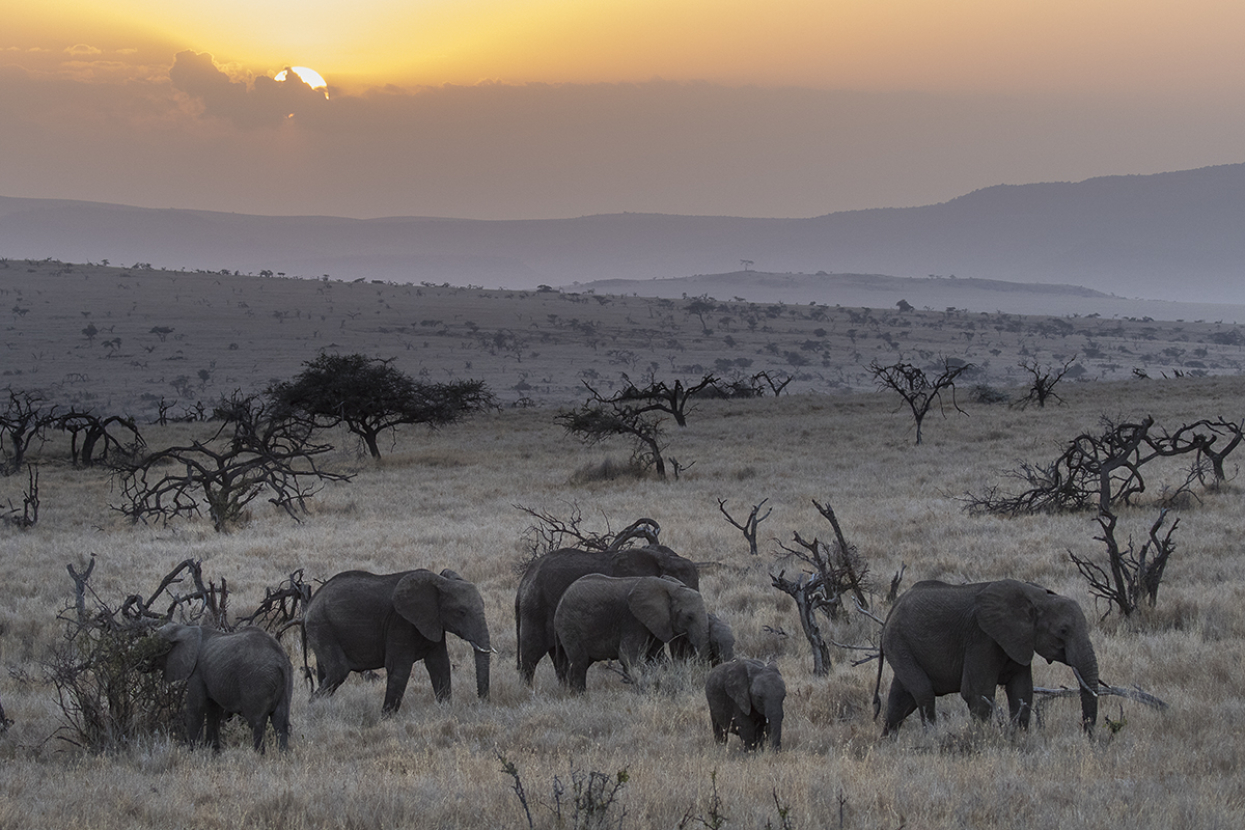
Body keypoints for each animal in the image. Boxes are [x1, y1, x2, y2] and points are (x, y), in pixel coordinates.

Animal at [154, 623, 293, 752]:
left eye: (160, 648)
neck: (184, 628)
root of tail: (280, 659)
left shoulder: (197, 672)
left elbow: (196, 708)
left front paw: (195, 753)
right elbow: (214, 712)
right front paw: (214, 753)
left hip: (257, 680)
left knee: (257, 722)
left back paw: (259, 756)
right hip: (286, 679)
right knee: (281, 721)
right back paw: (282, 756)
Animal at [304, 568, 491, 714]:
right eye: (462, 612)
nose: (482, 702)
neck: (440, 583)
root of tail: (310, 604)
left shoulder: (433, 622)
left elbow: (440, 664)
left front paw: (446, 712)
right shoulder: (400, 623)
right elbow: (400, 667)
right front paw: (385, 720)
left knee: (325, 673)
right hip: (322, 626)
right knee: (338, 671)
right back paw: (312, 710)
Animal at [515, 544, 700, 684]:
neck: (664, 559)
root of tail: (525, 579)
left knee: (559, 658)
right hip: (536, 609)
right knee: (532, 654)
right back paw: (528, 691)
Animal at [553, 574, 710, 692]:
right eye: (689, 617)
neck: (667, 586)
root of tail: (560, 600)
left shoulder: (654, 622)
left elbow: (656, 656)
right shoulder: (632, 620)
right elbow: (627, 655)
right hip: (569, 626)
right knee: (579, 662)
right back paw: (579, 695)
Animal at [874, 579, 1099, 736]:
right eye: (1063, 631)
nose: (1087, 733)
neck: (1037, 596)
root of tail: (893, 607)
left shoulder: (1017, 640)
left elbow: (1022, 691)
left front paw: (1019, 738)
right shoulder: (982, 638)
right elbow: (976, 692)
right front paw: (982, 738)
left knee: (901, 700)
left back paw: (887, 742)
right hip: (898, 642)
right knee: (923, 693)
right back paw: (932, 737)